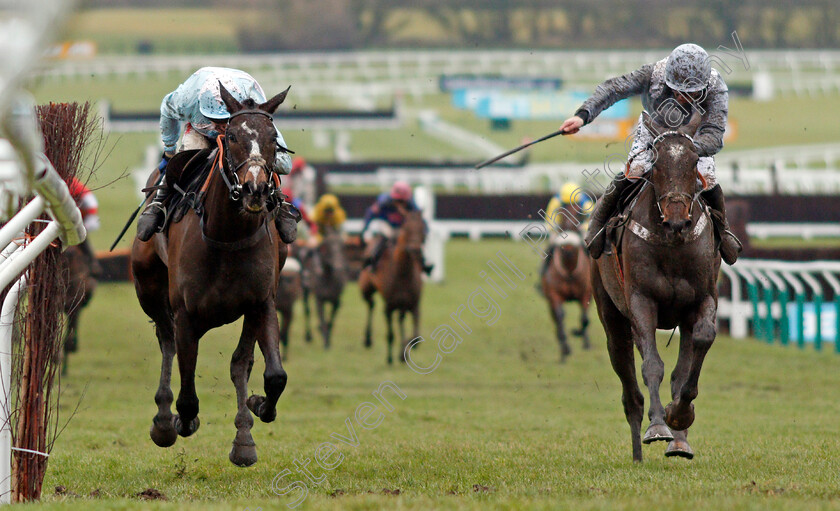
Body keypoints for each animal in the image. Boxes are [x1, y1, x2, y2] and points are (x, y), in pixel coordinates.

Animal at [130, 83, 290, 468]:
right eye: (231, 136)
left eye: (273, 138)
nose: (255, 189)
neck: (225, 236)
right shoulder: (186, 312)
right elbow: (187, 392)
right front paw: (179, 421)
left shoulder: (262, 302)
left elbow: (273, 374)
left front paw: (257, 410)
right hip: (148, 287)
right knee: (167, 343)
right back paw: (163, 421)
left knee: (240, 363)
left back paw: (244, 434)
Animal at [360, 210, 426, 366]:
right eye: (406, 228)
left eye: (422, 228)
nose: (415, 250)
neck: (402, 273)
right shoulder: (389, 306)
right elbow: (390, 334)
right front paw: (390, 358)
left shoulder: (413, 304)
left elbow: (415, 336)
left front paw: (404, 352)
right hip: (365, 289)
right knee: (370, 304)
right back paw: (368, 339)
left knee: (399, 318)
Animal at [540, 214, 592, 362]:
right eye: (561, 220)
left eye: (579, 216)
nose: (568, 251)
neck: (569, 270)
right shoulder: (554, 295)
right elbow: (560, 316)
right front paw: (565, 350)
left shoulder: (586, 294)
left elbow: (584, 319)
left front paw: (579, 335)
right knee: (556, 318)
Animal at [588, 113, 720, 464]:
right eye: (656, 165)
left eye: (693, 163)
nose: (676, 220)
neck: (671, 244)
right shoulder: (640, 301)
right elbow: (652, 366)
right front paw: (659, 425)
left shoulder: (701, 299)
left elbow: (700, 344)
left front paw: (680, 415)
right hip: (611, 315)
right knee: (629, 390)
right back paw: (638, 452)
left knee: (679, 368)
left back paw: (680, 441)